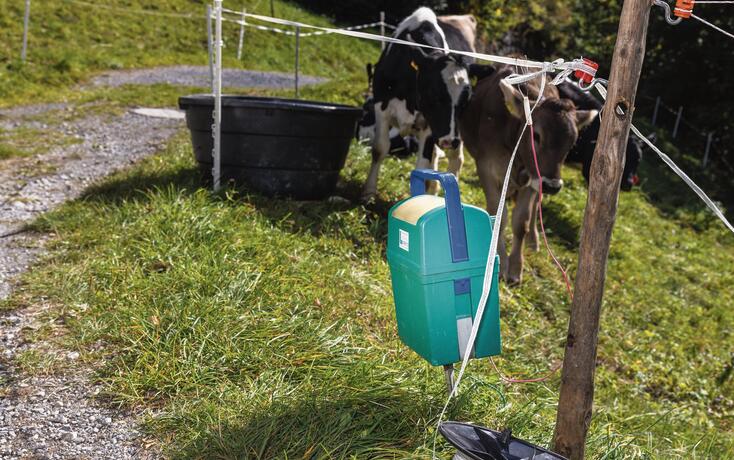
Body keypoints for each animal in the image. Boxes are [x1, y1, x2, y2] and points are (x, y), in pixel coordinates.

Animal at [361, 8, 476, 202]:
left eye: (465, 101)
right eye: (434, 93)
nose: (449, 140)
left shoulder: (430, 125)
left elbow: (422, 164)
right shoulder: (381, 106)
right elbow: (379, 148)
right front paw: (368, 193)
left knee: (456, 159)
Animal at [460, 65, 598, 285]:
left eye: (572, 143)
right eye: (536, 135)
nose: (552, 185)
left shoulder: (534, 178)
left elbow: (521, 222)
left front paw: (516, 268)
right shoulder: (487, 169)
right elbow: (499, 218)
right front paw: (501, 262)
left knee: (534, 209)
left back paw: (534, 240)